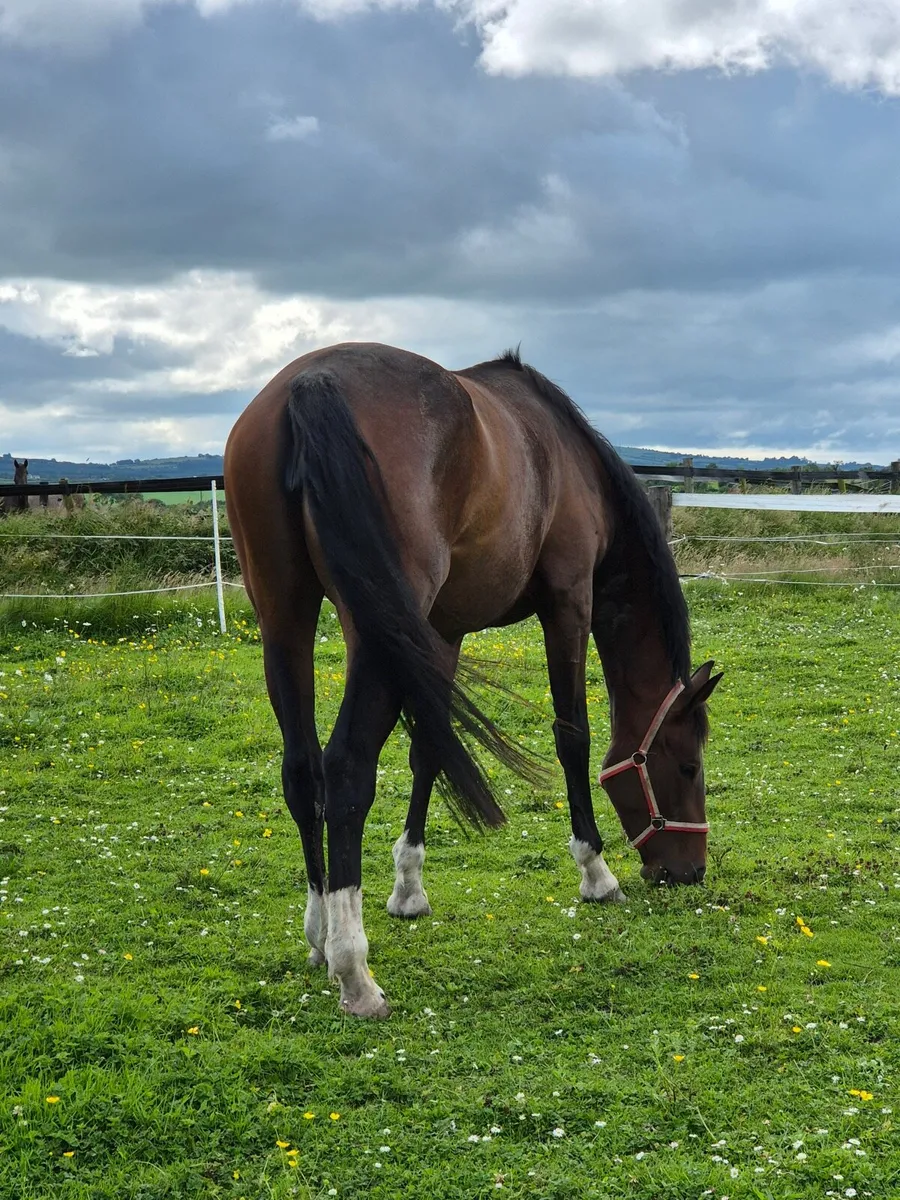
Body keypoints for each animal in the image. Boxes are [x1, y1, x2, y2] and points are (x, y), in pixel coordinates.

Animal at [224, 343, 722, 1018]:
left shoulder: (441, 630)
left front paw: (408, 888)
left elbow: (429, 749)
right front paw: (596, 873)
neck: (569, 458)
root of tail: (312, 383)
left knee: (302, 772)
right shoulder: (569, 603)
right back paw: (354, 971)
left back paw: (321, 937)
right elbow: (573, 735)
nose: (691, 871)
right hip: (369, 634)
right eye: (689, 767)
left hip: (284, 616)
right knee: (346, 769)